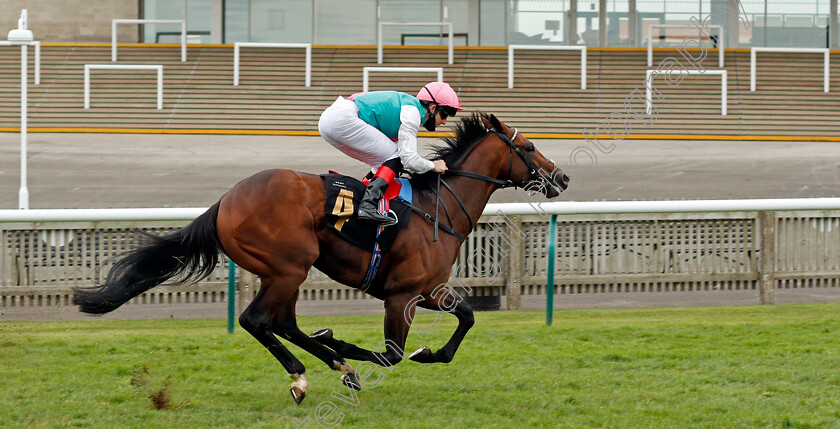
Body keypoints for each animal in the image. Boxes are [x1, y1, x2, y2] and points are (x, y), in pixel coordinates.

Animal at [74, 111, 572, 404]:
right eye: (529, 147)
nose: (562, 177)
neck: (439, 207)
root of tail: (225, 202)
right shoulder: (402, 295)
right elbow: (392, 354)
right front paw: (362, 348)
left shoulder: (427, 290)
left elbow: (467, 316)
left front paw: (422, 352)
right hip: (289, 266)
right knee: (257, 320)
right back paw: (304, 375)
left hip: (285, 271)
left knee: (283, 323)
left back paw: (333, 362)